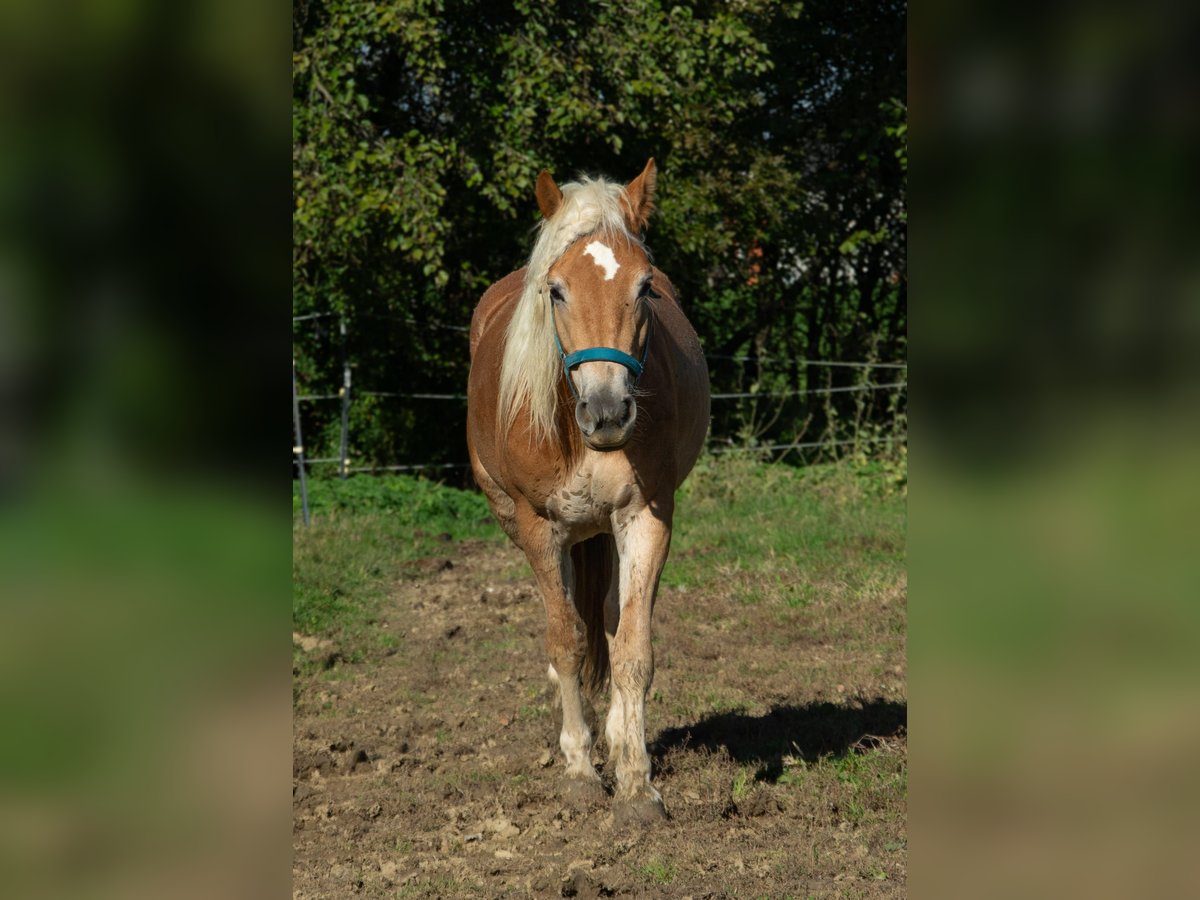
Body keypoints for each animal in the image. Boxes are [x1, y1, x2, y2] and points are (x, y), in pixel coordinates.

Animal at [465, 160, 710, 825]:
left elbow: (631, 649)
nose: (607, 411)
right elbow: (567, 641)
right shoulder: (539, 526)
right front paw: (579, 769)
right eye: (556, 290)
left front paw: (636, 783)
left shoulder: (648, 518)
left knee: (610, 619)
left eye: (645, 287)